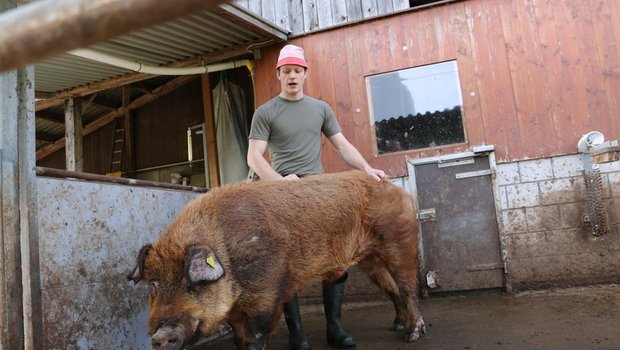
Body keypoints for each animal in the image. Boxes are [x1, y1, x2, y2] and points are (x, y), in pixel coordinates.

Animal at [127, 170, 426, 350]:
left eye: (192, 284)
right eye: (153, 286)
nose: (160, 337)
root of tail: (398, 191)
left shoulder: (267, 292)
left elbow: (256, 335)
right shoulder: (234, 310)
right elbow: (237, 335)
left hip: (400, 241)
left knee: (408, 287)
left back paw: (412, 335)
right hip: (370, 260)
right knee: (392, 289)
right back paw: (397, 325)